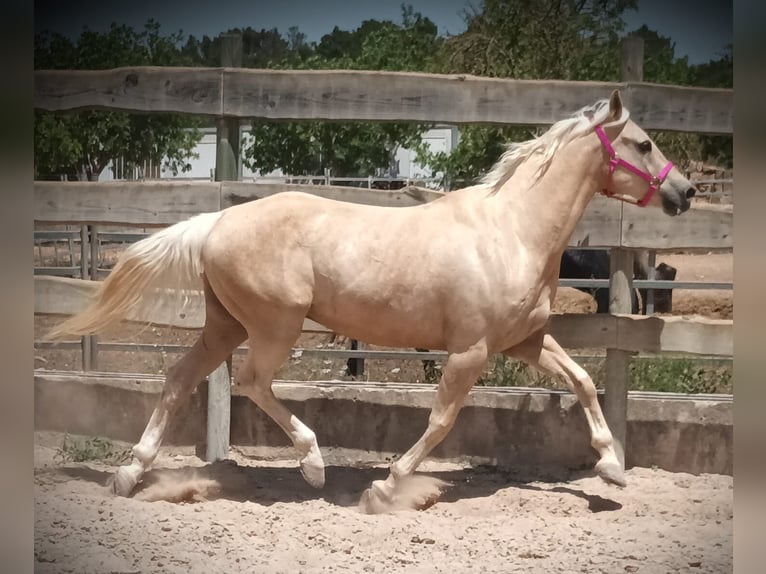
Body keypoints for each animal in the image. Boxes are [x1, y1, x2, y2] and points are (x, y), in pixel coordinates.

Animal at [46, 92, 696, 516]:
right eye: (643, 142)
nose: (684, 191)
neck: (511, 231)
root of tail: (216, 222)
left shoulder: (525, 340)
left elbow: (582, 381)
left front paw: (611, 468)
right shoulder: (471, 351)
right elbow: (441, 420)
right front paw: (384, 489)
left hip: (225, 325)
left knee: (180, 378)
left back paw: (130, 474)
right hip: (274, 326)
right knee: (253, 382)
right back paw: (312, 464)